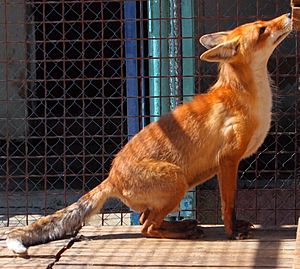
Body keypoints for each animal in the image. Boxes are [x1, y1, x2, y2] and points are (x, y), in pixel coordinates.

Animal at [5, 14, 292, 253]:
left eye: (264, 22)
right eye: (262, 29)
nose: (289, 15)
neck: (246, 99)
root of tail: (111, 177)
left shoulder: (227, 162)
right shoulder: (228, 159)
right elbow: (228, 204)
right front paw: (232, 232)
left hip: (175, 188)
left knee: (147, 220)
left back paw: (183, 225)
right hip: (177, 182)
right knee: (147, 228)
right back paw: (184, 232)